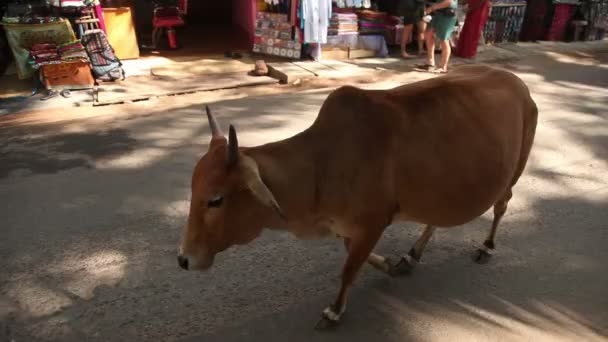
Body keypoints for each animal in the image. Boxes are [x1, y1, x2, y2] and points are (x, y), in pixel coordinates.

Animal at [178, 64, 540, 328]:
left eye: (215, 200)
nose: (183, 260)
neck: (322, 166)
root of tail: (517, 82)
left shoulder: (373, 222)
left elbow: (349, 268)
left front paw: (335, 310)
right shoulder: (350, 226)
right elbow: (355, 255)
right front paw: (392, 265)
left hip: (514, 172)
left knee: (501, 206)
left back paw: (486, 246)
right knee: (435, 220)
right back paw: (413, 254)